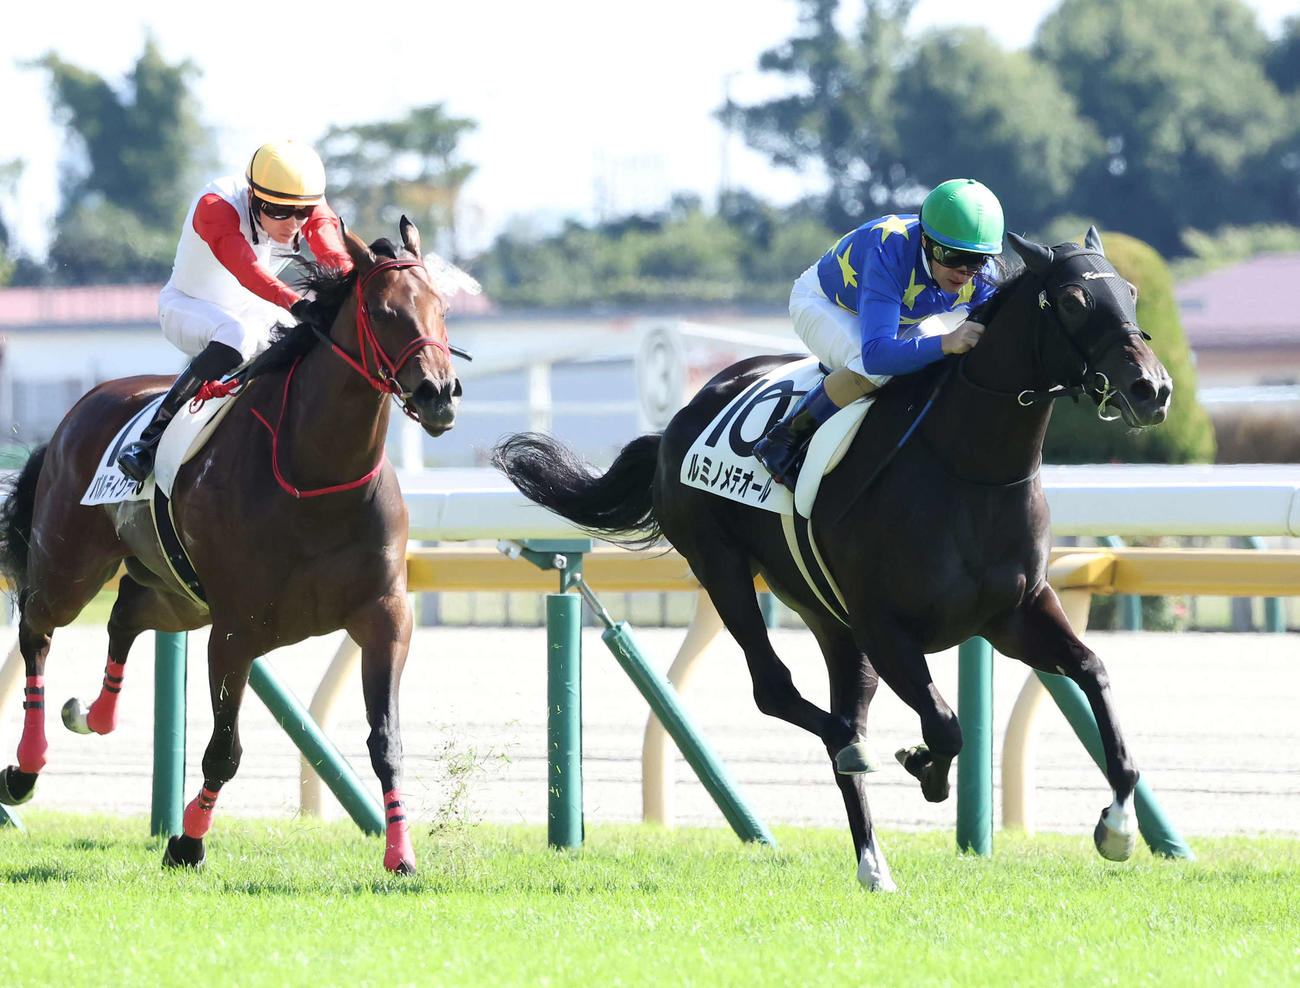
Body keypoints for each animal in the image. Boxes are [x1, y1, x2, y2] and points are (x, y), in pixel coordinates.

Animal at [0, 216, 462, 874]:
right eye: (382, 310)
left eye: (441, 307)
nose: (438, 394)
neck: (316, 476)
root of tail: (79, 408)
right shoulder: (235, 630)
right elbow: (223, 749)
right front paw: (188, 842)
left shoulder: (385, 615)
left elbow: (387, 742)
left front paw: (400, 854)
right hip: (70, 565)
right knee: (37, 632)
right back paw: (25, 768)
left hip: (179, 595)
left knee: (126, 612)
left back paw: (93, 714)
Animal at [493, 228, 1173, 890]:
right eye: (1073, 301)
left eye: (1133, 293)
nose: (1154, 388)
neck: (967, 468)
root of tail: (677, 423)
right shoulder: (885, 625)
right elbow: (945, 724)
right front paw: (926, 768)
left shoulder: (1013, 613)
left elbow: (1092, 671)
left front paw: (1117, 827)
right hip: (724, 567)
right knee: (782, 692)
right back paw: (857, 760)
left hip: (830, 619)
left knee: (841, 709)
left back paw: (872, 859)